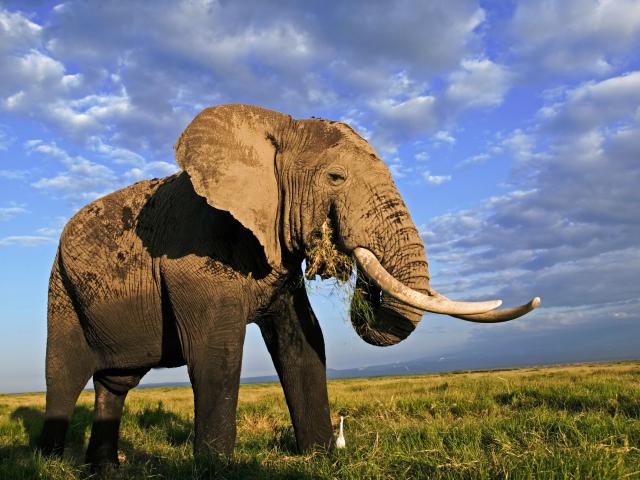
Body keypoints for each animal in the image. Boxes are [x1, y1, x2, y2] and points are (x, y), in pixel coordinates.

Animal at [38, 104, 540, 467]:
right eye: (335, 177)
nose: (340, 248)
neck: (272, 129)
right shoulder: (195, 252)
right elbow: (217, 353)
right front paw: (218, 469)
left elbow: (303, 342)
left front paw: (321, 459)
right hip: (59, 286)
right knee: (63, 374)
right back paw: (48, 464)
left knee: (115, 382)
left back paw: (103, 468)